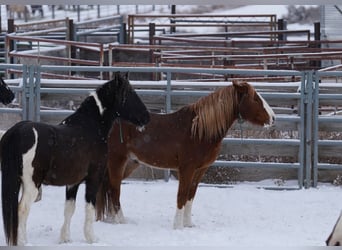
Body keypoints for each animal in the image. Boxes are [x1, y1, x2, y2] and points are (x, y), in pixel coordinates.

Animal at [0, 72, 150, 244]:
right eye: (130, 94)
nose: (147, 117)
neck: (91, 127)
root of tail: (16, 131)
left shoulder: (73, 182)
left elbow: (69, 209)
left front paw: (65, 238)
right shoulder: (93, 178)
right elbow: (89, 208)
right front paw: (91, 238)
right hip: (32, 184)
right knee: (22, 209)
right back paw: (23, 242)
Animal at [96, 81, 276, 229]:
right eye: (255, 99)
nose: (273, 118)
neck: (199, 130)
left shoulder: (200, 170)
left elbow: (190, 195)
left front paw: (189, 224)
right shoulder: (186, 169)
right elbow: (181, 196)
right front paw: (178, 226)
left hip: (130, 163)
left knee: (110, 187)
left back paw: (112, 220)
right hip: (117, 161)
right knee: (114, 189)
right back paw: (121, 221)